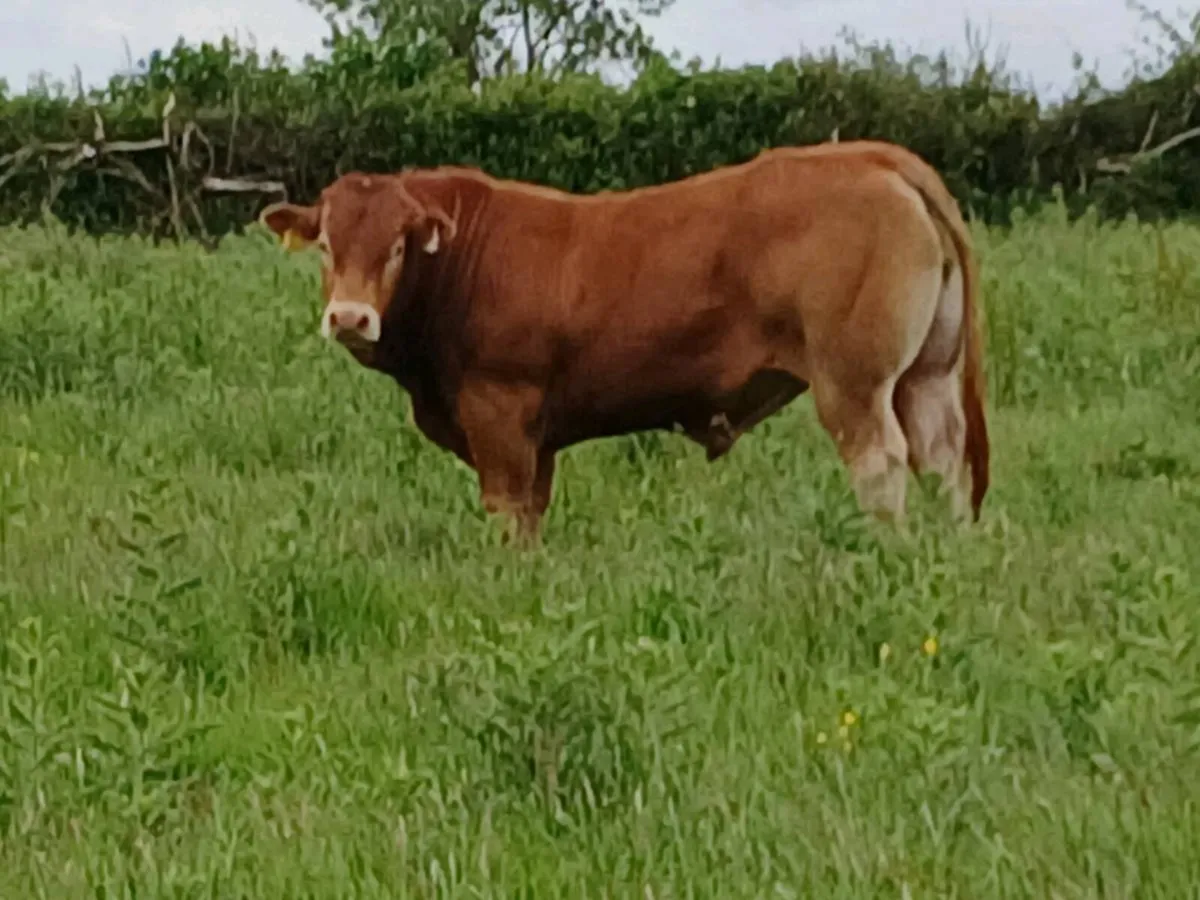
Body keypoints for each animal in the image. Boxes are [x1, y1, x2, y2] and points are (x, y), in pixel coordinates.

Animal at [258, 139, 989, 544]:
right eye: (325, 244)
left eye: (398, 247)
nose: (349, 318)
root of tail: (869, 154)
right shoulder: (537, 439)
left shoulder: (500, 416)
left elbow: (507, 515)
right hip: (926, 377)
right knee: (944, 462)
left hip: (854, 382)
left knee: (881, 464)